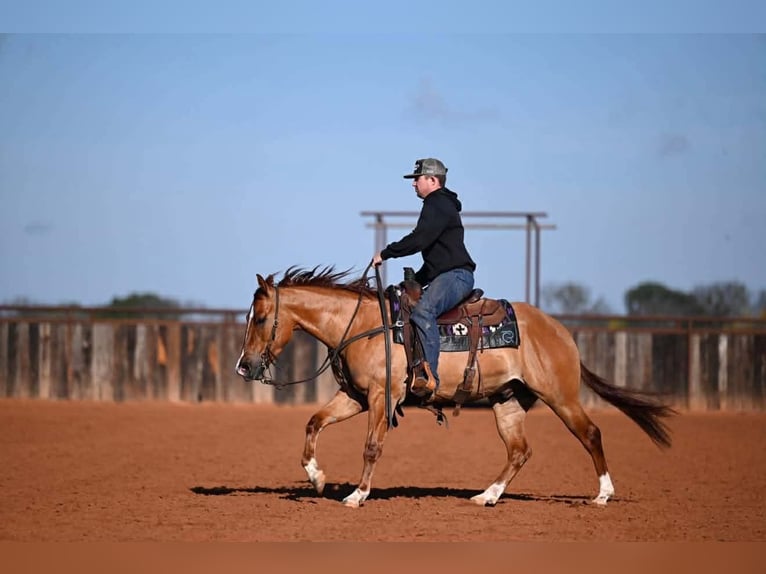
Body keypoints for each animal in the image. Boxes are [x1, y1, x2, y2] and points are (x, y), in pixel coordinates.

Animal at [235, 266, 676, 508]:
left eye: (261, 318)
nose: (243, 366)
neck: (363, 325)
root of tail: (560, 331)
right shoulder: (355, 397)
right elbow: (313, 422)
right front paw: (316, 477)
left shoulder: (381, 396)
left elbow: (372, 446)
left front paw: (357, 495)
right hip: (508, 402)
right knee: (520, 451)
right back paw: (487, 496)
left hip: (561, 397)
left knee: (591, 433)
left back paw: (602, 494)